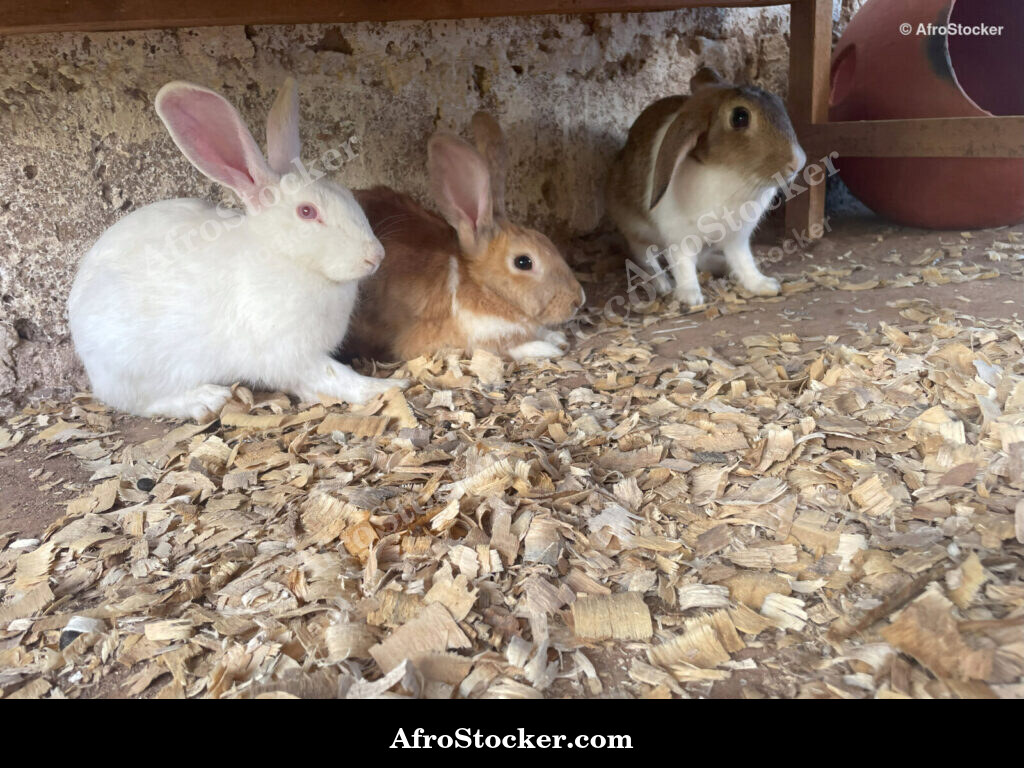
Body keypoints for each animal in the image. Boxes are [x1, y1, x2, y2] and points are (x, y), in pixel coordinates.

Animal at [67, 77, 405, 422]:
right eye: (307, 212)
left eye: (347, 195)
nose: (375, 256)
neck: (285, 257)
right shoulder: (292, 354)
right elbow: (335, 376)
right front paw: (387, 386)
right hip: (138, 367)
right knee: (140, 402)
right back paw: (205, 400)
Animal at [343, 112, 585, 362]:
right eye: (523, 262)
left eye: (546, 239)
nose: (578, 301)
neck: (482, 287)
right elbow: (505, 348)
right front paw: (547, 348)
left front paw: (555, 337)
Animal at [605, 66, 807, 307]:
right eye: (740, 117)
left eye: (777, 102)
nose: (797, 163)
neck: (728, 174)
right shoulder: (680, 239)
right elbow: (683, 265)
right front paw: (690, 298)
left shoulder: (737, 238)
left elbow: (744, 261)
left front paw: (763, 285)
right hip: (635, 231)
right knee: (646, 259)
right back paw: (664, 285)